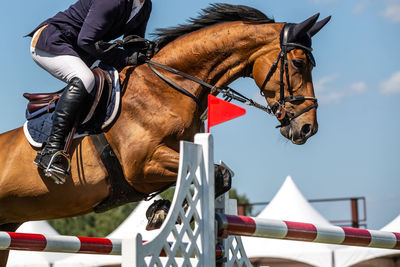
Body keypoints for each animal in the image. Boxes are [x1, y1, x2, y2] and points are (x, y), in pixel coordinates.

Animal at [0, 4, 332, 266]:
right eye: (299, 63)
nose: (307, 128)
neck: (169, 86)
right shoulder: (141, 165)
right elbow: (216, 174)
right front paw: (161, 214)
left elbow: (218, 177)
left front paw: (158, 212)